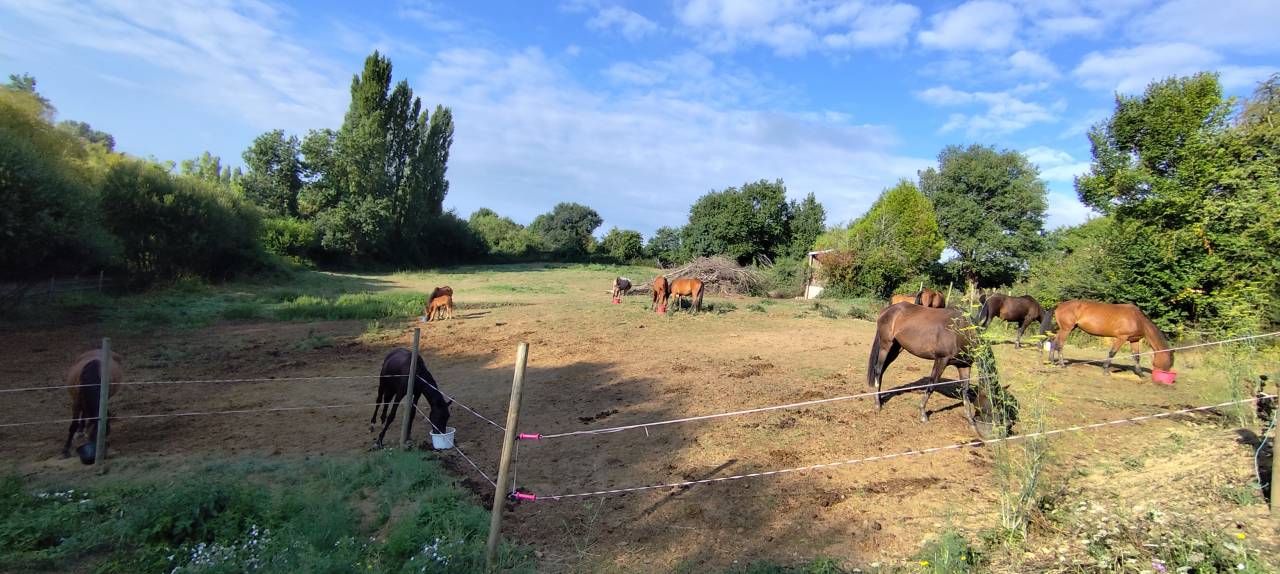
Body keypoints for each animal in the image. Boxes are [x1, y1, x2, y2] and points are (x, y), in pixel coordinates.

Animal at [1039, 300, 1174, 378]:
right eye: (1168, 362)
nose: (1163, 375)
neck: (1137, 319)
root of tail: (1060, 305)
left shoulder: (1134, 340)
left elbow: (1136, 356)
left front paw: (1140, 373)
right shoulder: (1121, 337)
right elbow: (1112, 352)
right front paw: (1105, 370)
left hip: (1065, 328)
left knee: (1053, 341)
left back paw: (1052, 360)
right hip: (1066, 329)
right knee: (1059, 344)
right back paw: (1062, 364)